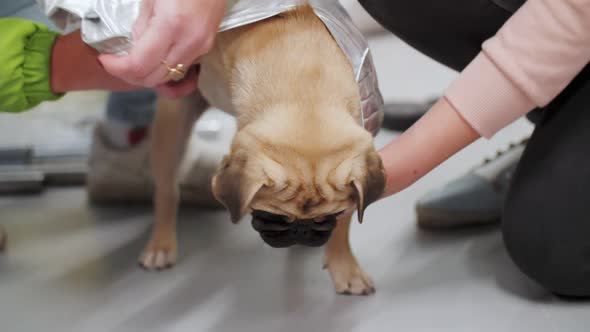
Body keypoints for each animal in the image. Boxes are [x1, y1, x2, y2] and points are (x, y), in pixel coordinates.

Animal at [141, 4, 386, 296]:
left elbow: (346, 223)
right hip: (171, 130)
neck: (304, 93)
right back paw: (161, 244)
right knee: (167, 191)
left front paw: (345, 266)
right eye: (270, 216)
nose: (301, 231)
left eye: (330, 216)